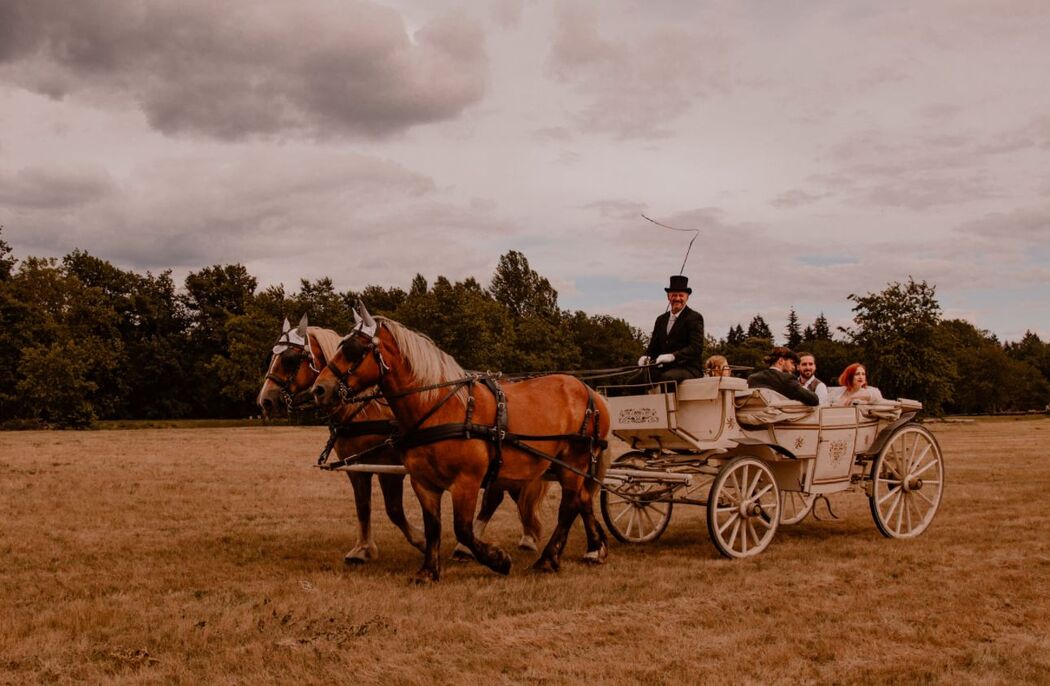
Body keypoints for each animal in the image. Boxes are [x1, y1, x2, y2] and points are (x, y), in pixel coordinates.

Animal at [258, 315, 546, 563]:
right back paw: (522, 537)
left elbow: (394, 509)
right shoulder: (356, 467)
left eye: (290, 358)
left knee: (498, 495)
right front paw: (362, 549)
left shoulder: (388, 466)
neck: (365, 410)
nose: (265, 400)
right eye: (273, 356)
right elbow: (362, 506)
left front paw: (419, 540)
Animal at [306, 306, 613, 579]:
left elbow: (462, 527)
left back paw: (548, 559)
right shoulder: (422, 481)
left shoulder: (466, 481)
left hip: (574, 463)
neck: (439, 407)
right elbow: (433, 526)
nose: (319, 389)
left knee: (569, 506)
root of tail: (591, 392)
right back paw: (593, 549)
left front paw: (497, 559)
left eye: (354, 349)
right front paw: (428, 571)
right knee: (583, 500)